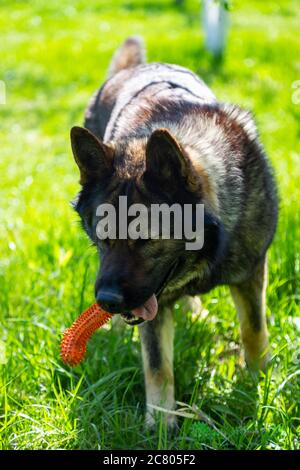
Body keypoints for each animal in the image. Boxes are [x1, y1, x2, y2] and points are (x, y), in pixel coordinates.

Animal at [71, 38, 278, 428]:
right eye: (102, 239)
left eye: (147, 240)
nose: (106, 301)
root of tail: (130, 69)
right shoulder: (153, 304)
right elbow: (157, 365)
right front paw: (161, 425)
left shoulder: (251, 272)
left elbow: (253, 331)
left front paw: (259, 383)